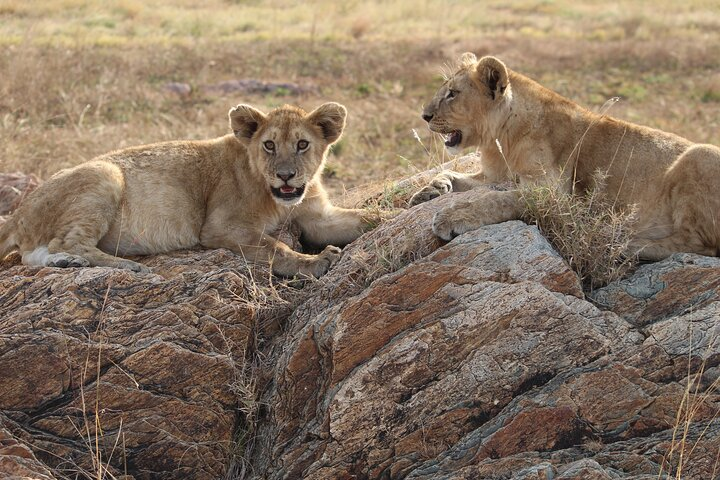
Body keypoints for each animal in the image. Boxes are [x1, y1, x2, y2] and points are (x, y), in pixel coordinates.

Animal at [0, 102, 378, 277]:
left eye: (302, 144)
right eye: (269, 145)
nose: (286, 176)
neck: (280, 200)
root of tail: (17, 213)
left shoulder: (318, 217)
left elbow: (366, 218)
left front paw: (392, 214)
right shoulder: (220, 226)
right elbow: (275, 248)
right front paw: (316, 261)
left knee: (36, 254)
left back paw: (67, 264)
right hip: (105, 174)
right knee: (67, 242)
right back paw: (127, 267)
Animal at [410, 53, 720, 260]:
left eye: (452, 93)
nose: (424, 116)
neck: (501, 138)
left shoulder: (555, 195)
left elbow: (498, 200)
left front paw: (453, 216)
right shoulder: (495, 175)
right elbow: (453, 174)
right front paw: (430, 190)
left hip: (700, 155)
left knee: (700, 244)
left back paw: (622, 240)